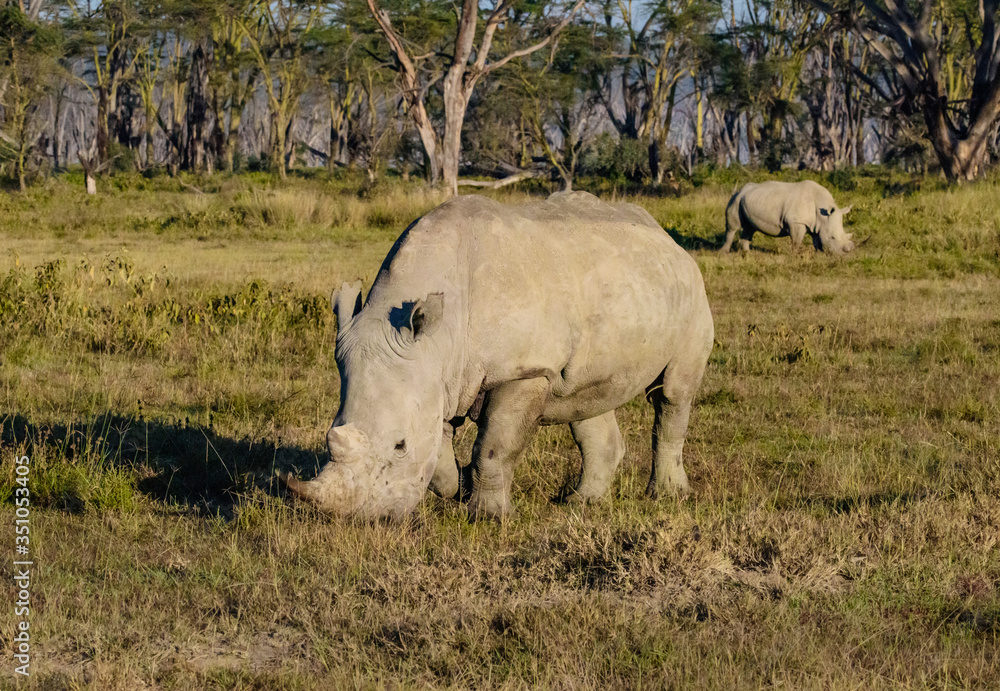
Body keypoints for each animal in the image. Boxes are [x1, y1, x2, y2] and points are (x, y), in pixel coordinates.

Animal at [280, 192, 714, 520]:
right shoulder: (440, 374)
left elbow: (494, 447)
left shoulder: (522, 371)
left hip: (693, 293)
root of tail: (667, 238)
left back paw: (667, 497)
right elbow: (439, 452)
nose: (362, 519)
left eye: (400, 446)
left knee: (672, 395)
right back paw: (580, 502)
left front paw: (487, 516)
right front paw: (459, 486)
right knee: (585, 399)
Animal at [720, 180, 854, 254]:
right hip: (736, 199)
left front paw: (818, 254)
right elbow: (796, 241)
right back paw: (724, 253)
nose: (846, 252)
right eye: (833, 237)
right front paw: (795, 256)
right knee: (733, 227)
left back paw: (747, 253)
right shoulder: (796, 222)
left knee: (749, 228)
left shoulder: (816, 224)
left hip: (748, 201)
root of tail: (740, 189)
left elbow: (816, 240)